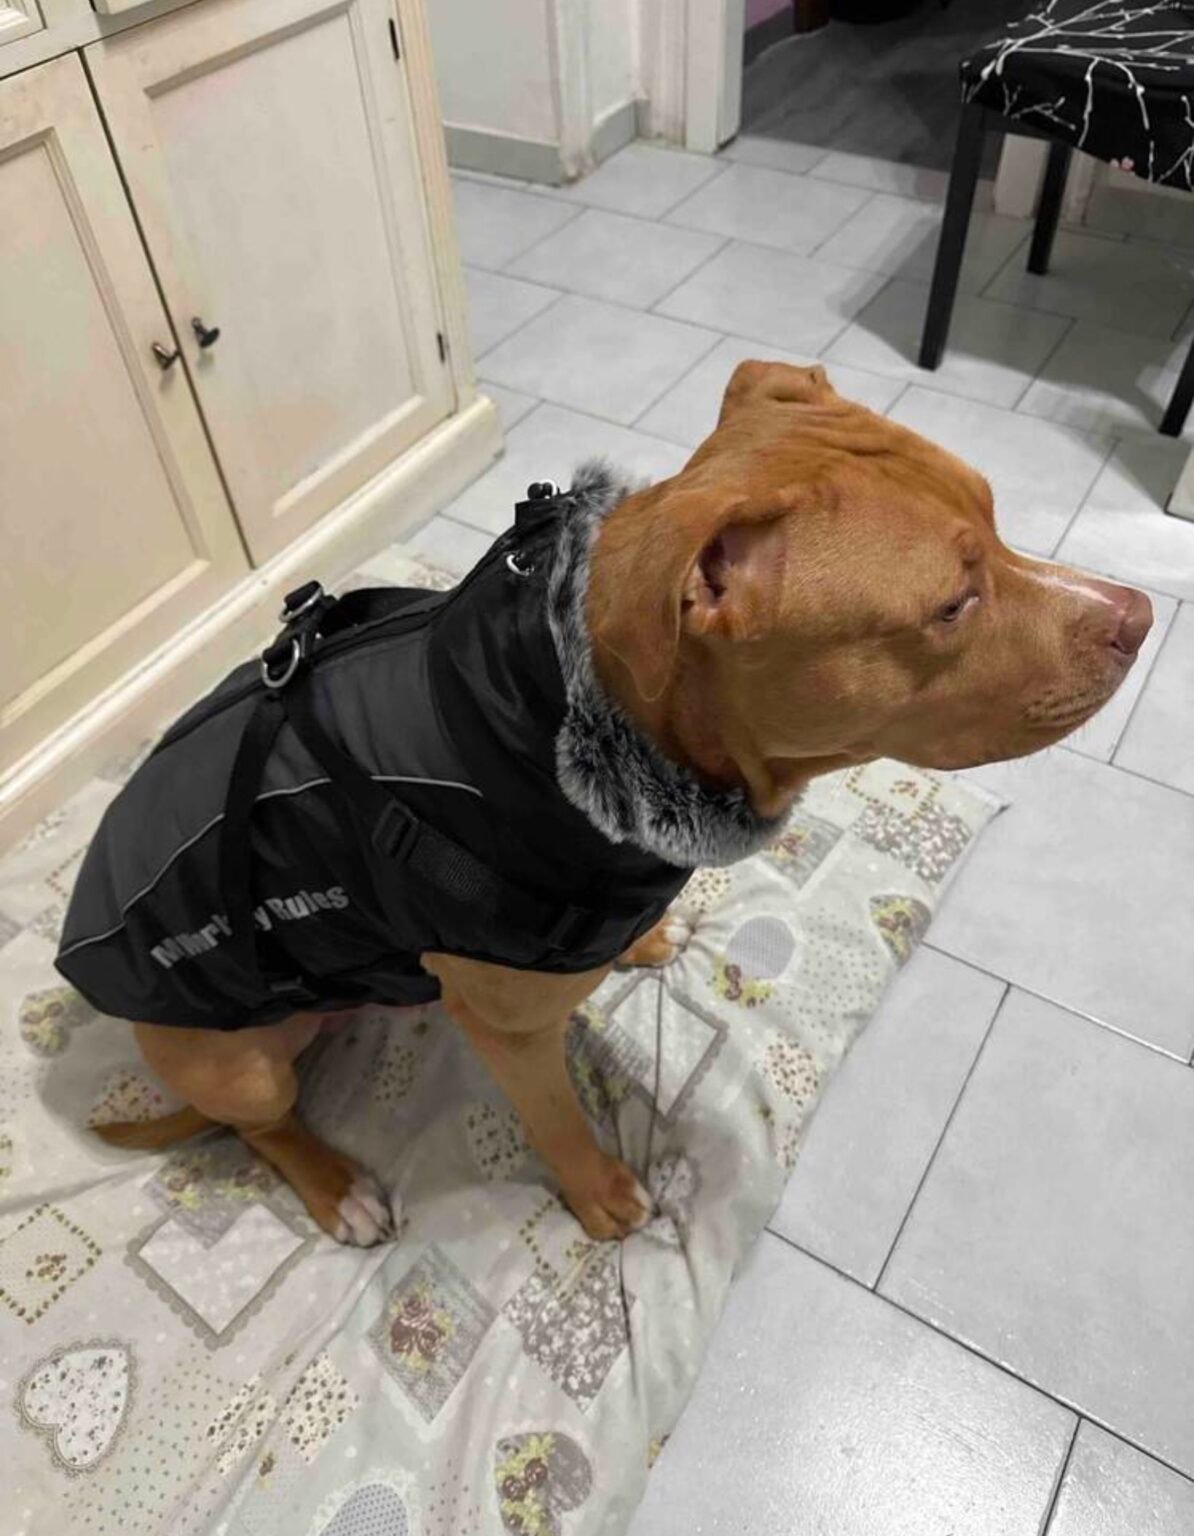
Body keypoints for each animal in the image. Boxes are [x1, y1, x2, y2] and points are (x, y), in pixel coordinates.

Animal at [57, 362, 1151, 1246]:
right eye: (952, 607)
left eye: (998, 519)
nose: (1139, 616)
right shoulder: (507, 1032)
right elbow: (553, 1116)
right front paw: (601, 1197)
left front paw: (642, 941)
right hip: (244, 1067)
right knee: (259, 1125)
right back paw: (339, 1189)